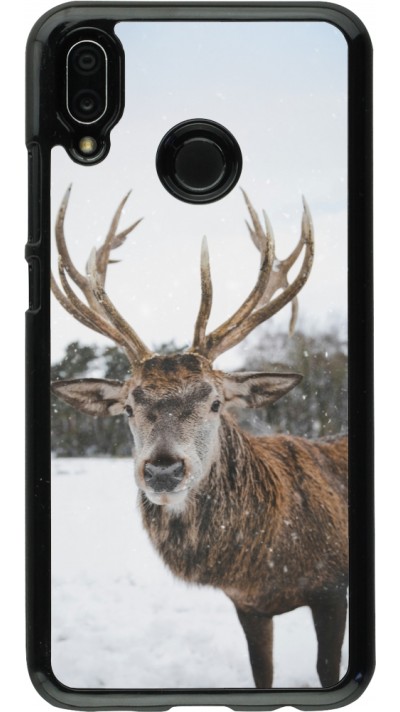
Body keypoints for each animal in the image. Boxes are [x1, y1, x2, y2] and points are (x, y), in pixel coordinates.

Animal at [51, 187, 348, 689]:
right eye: (128, 407)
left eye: (214, 402)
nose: (163, 469)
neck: (267, 563)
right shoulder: (248, 605)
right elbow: (261, 674)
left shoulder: (332, 588)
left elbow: (328, 669)